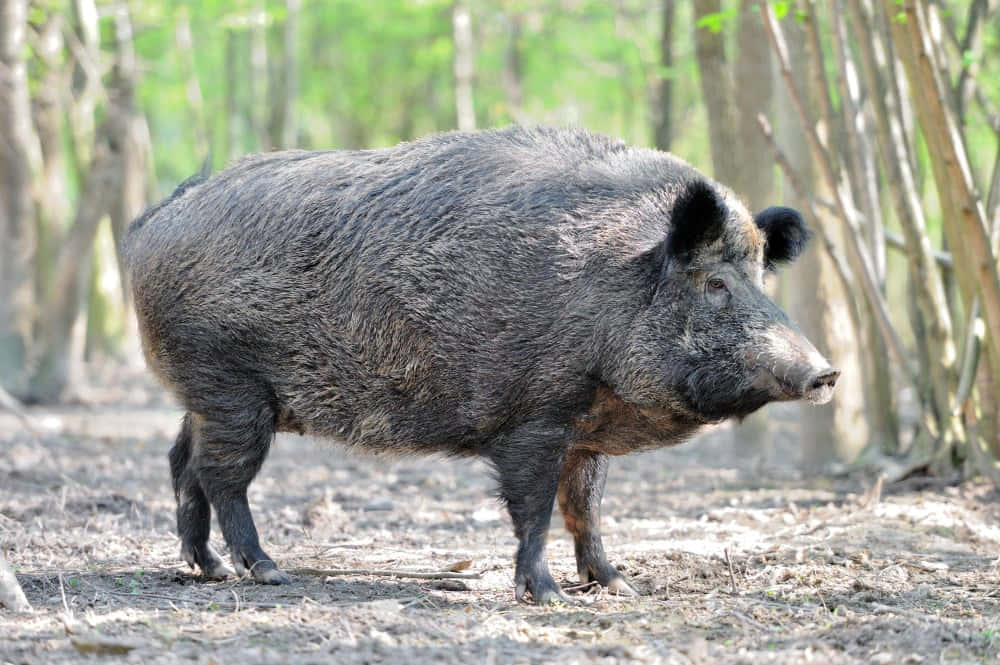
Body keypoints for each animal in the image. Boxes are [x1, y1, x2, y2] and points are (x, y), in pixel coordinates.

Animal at [123, 126, 838, 604]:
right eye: (714, 284)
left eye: (759, 278)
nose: (826, 374)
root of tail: (149, 224)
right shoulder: (535, 417)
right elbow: (536, 509)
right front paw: (548, 597)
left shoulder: (587, 432)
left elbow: (586, 507)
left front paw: (618, 586)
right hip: (231, 385)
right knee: (221, 475)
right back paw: (267, 571)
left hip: (203, 393)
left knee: (181, 461)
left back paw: (208, 569)